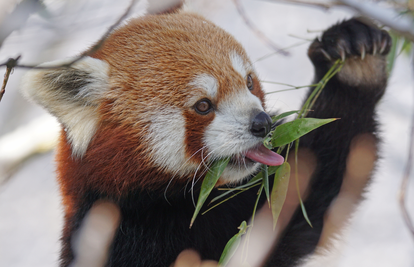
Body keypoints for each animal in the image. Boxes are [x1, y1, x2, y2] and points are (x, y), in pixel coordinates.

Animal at [21, 9, 392, 267]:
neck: (174, 209)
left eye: (249, 81)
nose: (262, 123)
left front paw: (352, 59)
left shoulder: (245, 212)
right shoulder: (111, 237)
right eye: (203, 105)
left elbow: (310, 188)